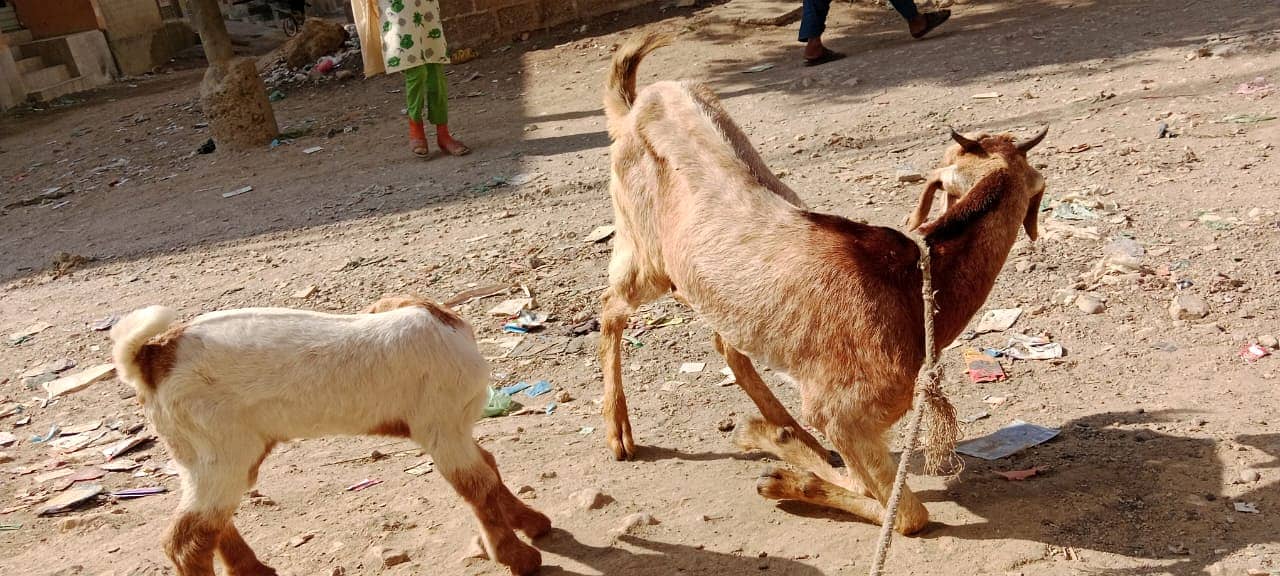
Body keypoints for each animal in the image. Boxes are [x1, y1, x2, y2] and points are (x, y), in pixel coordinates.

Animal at [593, 32, 1044, 535]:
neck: (909, 290)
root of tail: (636, 105)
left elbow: (869, 487)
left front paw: (777, 448)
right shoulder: (844, 413)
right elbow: (908, 516)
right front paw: (784, 473)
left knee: (726, 341)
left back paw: (781, 424)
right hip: (643, 249)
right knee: (610, 306)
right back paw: (619, 430)